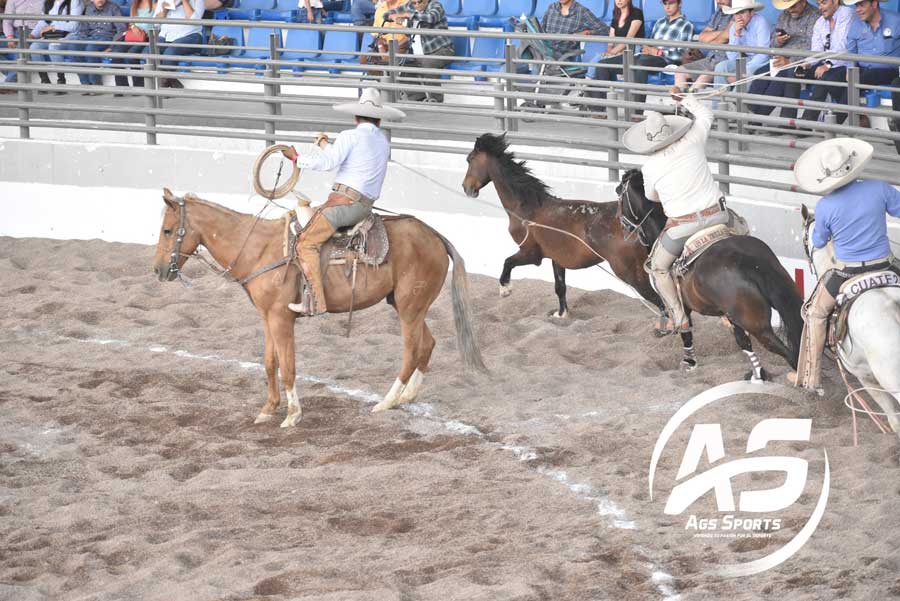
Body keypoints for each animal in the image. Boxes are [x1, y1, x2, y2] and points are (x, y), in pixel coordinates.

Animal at [151, 188, 486, 426]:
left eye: (167, 230)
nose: (158, 270)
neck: (258, 248)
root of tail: (434, 235)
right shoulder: (266, 317)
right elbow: (270, 362)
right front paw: (268, 409)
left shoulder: (281, 318)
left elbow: (288, 366)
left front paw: (292, 414)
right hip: (410, 306)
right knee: (428, 344)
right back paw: (408, 396)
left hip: (409, 307)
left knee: (411, 351)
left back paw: (387, 401)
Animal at [460, 133, 700, 370]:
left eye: (470, 159)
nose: (466, 188)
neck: (529, 210)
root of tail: (637, 224)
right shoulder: (556, 259)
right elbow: (560, 287)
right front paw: (561, 314)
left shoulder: (530, 254)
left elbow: (507, 262)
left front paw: (505, 289)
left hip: (632, 275)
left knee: (662, 303)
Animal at [620, 168, 800, 380]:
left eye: (619, 193)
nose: (623, 225)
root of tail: (746, 261)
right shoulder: (732, 318)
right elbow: (743, 342)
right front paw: (758, 374)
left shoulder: (682, 305)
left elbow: (686, 329)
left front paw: (689, 361)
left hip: (757, 326)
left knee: (790, 355)